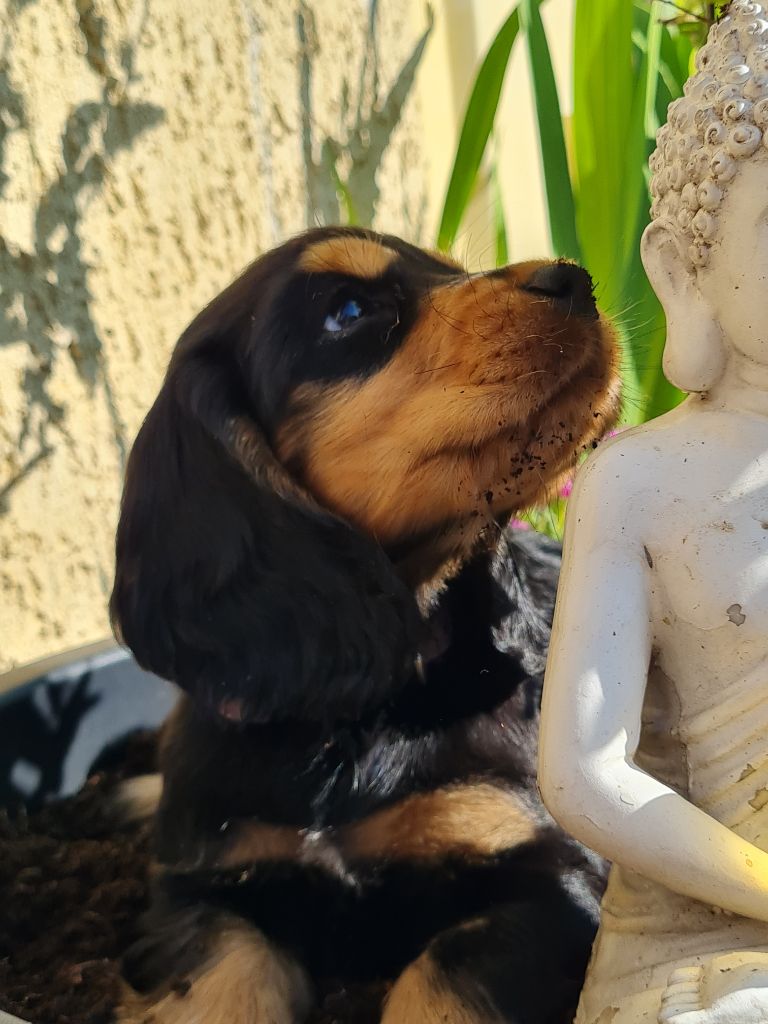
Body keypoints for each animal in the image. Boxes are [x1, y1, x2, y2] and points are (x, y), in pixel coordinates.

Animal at [109, 227, 620, 1023]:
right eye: (347, 311)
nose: (576, 281)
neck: (361, 711)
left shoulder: (544, 867)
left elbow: (440, 984)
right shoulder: (209, 886)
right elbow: (222, 982)